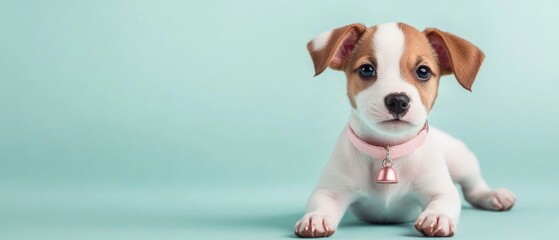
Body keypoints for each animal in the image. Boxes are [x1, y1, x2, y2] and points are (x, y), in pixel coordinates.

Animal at [296, 23, 520, 238]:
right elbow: (320, 202)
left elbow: (445, 200)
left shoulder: (440, 189)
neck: (389, 149)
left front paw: (436, 216)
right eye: (366, 70)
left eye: (423, 71)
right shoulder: (330, 191)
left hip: (462, 161)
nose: (397, 100)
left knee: (473, 187)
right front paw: (316, 217)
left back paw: (493, 195)